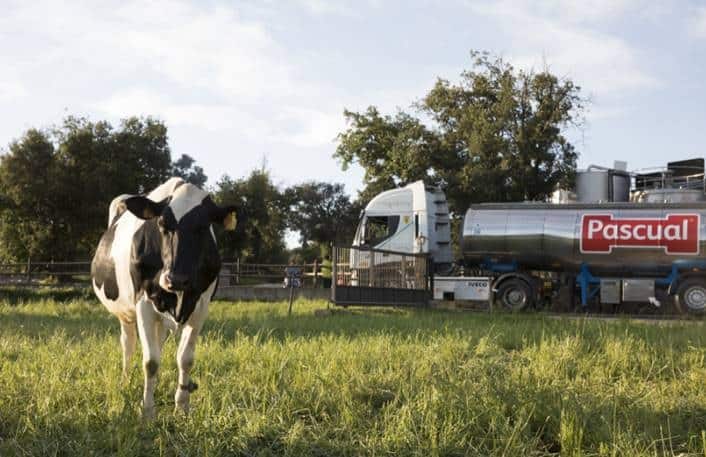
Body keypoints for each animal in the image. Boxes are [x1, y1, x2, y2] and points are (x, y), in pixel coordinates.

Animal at [91, 177, 236, 416]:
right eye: (162, 224)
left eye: (203, 227)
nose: (175, 278)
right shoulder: (143, 303)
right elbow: (150, 362)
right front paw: (148, 411)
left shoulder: (201, 306)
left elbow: (185, 359)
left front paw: (182, 407)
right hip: (126, 313)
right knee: (128, 344)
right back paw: (125, 382)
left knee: (157, 343)